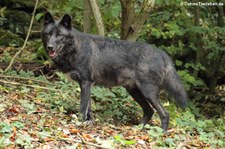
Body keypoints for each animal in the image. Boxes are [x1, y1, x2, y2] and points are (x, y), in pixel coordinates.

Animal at [41, 12, 187, 131]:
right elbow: (88, 109)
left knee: (164, 114)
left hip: (148, 93)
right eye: (48, 34)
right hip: (134, 91)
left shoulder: (86, 83)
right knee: (149, 111)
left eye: (59, 35)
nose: (50, 47)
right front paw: (88, 123)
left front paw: (78, 124)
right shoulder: (87, 85)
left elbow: (82, 108)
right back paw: (137, 130)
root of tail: (162, 53)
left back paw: (160, 135)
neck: (75, 48)